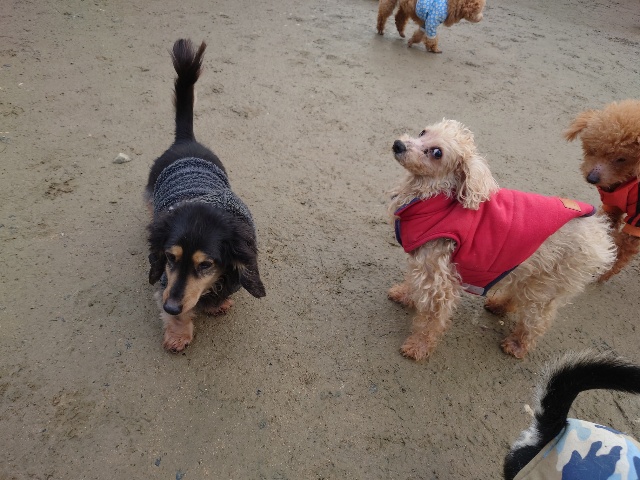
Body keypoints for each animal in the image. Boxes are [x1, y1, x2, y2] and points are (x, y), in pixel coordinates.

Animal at [145, 39, 265, 352]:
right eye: (169, 257)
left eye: (206, 265)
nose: (171, 306)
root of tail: (185, 140)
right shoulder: (165, 281)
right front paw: (178, 333)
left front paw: (216, 305)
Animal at [388, 119, 615, 360]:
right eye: (423, 132)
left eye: (437, 153)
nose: (398, 144)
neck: (434, 199)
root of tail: (599, 234)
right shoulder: (423, 260)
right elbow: (413, 282)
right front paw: (404, 294)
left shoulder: (439, 279)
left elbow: (431, 318)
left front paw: (418, 346)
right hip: (527, 267)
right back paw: (499, 305)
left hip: (547, 285)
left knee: (538, 319)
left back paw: (518, 344)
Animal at [565, 100, 640, 282]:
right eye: (592, 149)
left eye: (621, 159)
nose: (591, 178)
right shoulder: (613, 206)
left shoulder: (636, 223)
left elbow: (622, 251)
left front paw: (603, 272)